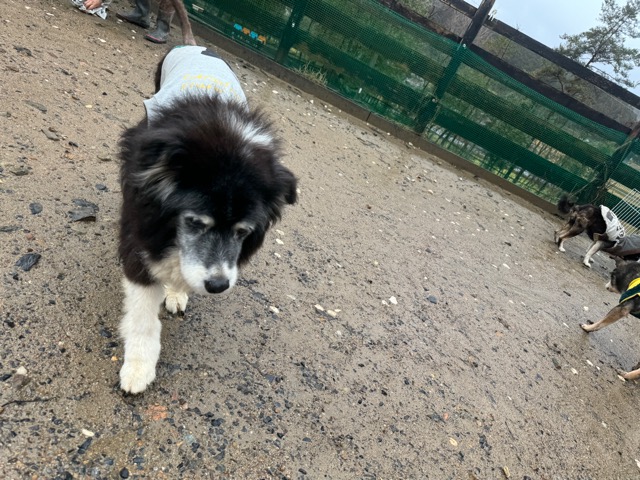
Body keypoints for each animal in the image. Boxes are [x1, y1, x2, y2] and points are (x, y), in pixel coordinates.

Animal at [117, 45, 297, 393]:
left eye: (243, 232)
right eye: (196, 223)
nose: (217, 286)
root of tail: (193, 44)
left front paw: (177, 290)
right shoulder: (140, 238)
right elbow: (143, 316)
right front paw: (138, 367)